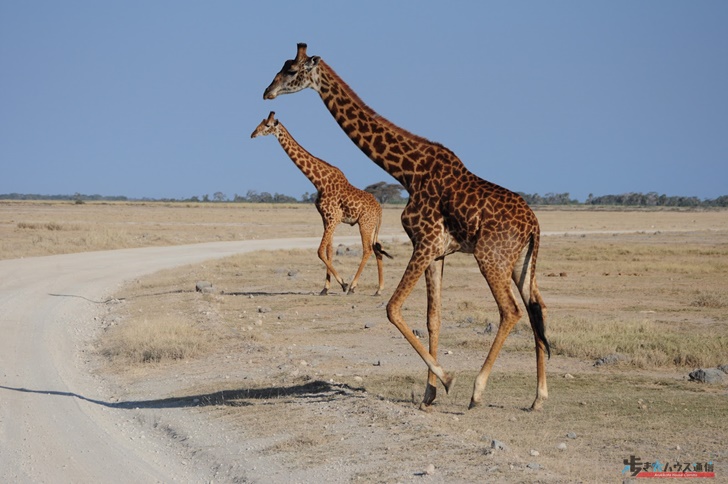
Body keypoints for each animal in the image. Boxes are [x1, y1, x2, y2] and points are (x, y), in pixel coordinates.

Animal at [253, 111, 396, 296]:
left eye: (267, 125)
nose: (253, 134)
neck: (319, 182)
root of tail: (379, 209)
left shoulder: (333, 218)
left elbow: (320, 251)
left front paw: (343, 284)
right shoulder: (325, 218)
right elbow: (329, 251)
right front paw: (325, 288)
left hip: (365, 224)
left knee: (368, 250)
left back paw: (353, 286)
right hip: (371, 226)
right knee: (378, 249)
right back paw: (379, 289)